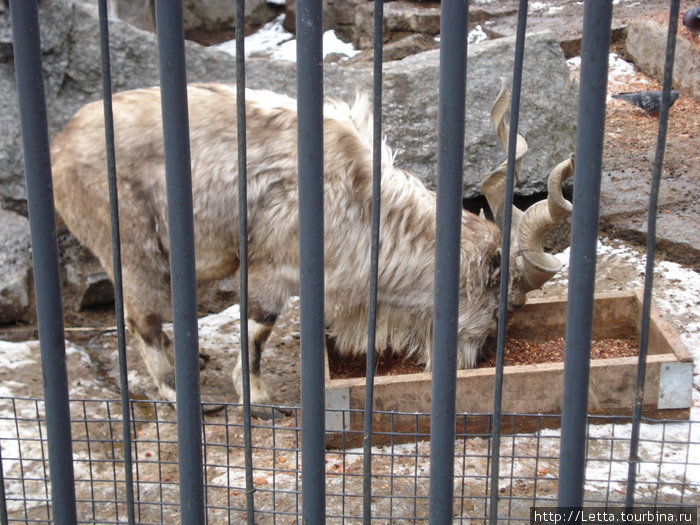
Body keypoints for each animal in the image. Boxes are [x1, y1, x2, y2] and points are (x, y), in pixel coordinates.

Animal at [50, 82, 576, 418]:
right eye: (504, 305)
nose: (478, 360)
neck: (361, 199)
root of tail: (60, 147)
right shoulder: (271, 267)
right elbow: (257, 330)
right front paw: (259, 402)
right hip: (130, 241)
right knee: (142, 317)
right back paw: (183, 397)